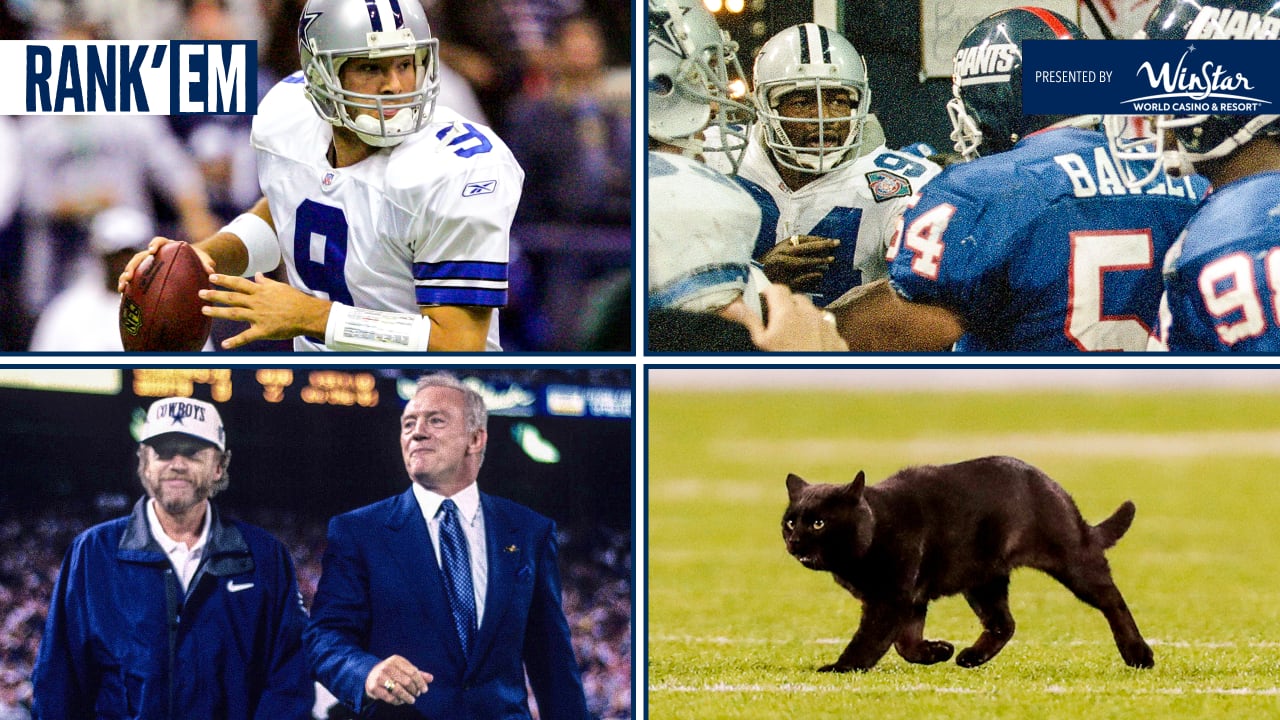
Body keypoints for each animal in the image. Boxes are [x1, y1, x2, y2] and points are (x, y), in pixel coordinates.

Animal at [783, 456, 1157, 671]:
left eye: (818, 523)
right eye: (790, 522)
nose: (794, 540)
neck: (874, 528)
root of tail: (1052, 485)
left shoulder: (890, 599)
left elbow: (869, 641)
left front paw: (839, 668)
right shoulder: (910, 599)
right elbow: (906, 643)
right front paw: (939, 651)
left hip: (1072, 561)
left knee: (1113, 600)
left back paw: (1138, 655)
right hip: (983, 581)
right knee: (1004, 623)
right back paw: (970, 657)